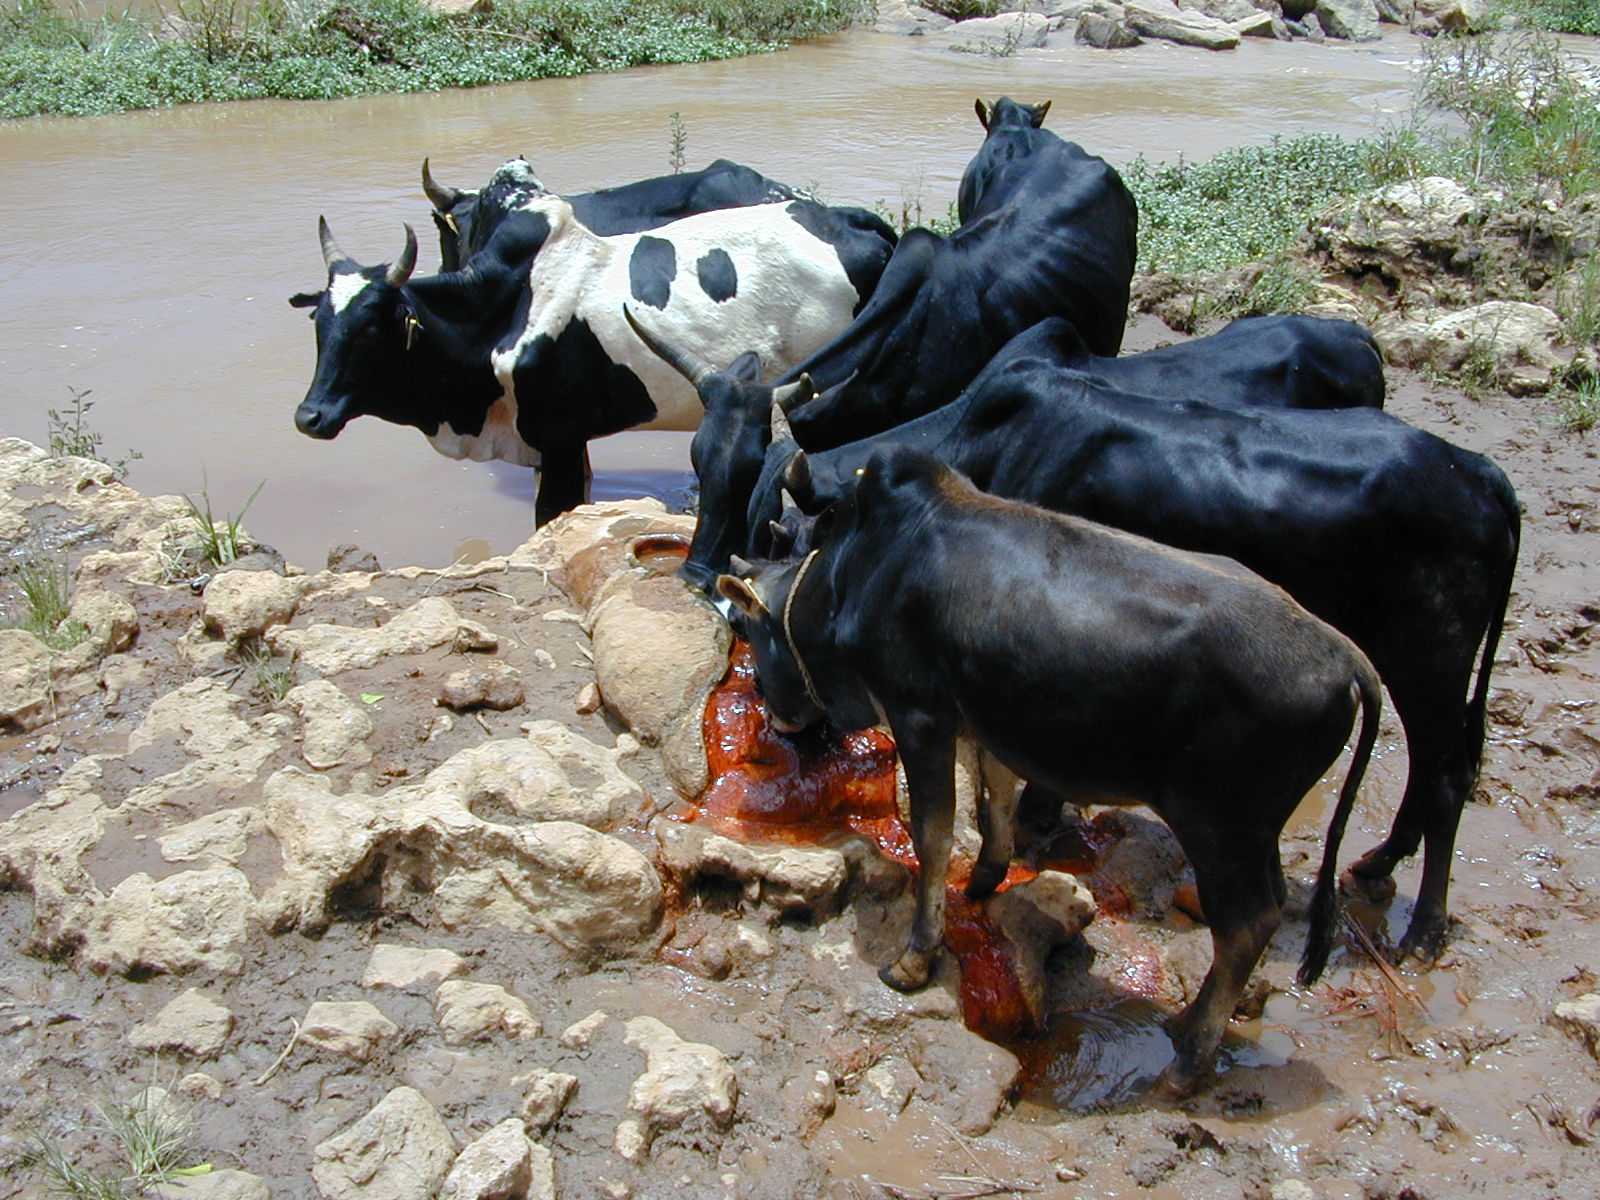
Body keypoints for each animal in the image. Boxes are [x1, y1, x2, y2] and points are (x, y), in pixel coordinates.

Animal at [288, 173, 893, 525]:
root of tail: (850, 218)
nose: (309, 416)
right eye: (320, 322)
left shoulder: (555, 440)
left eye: (372, 327)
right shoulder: (564, 445)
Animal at [714, 446, 1382, 1094]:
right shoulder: (987, 719)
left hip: (1219, 827)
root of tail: (1348, 657)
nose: (777, 721)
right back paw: (1188, 1024)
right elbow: (997, 797)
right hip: (1254, 834)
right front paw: (985, 880)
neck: (853, 575)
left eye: (744, 627)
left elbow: (933, 836)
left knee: (1247, 924)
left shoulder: (919, 716)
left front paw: (915, 959)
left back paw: (1188, 1061)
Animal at [759, 317, 1520, 961]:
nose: (788, 722)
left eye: (784, 537)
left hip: (1429, 657)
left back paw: (1424, 926)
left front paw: (1036, 821)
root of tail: (1486, 476)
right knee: (1438, 765)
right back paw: (1382, 862)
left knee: (1447, 774)